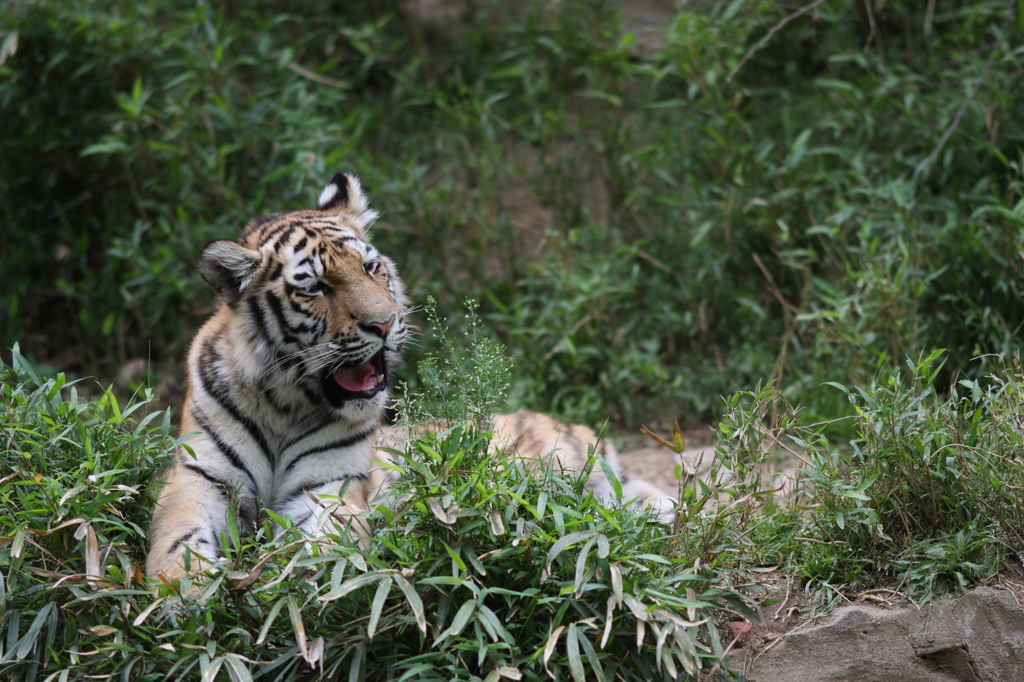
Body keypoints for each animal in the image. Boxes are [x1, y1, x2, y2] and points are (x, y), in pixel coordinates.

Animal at [144, 171, 671, 577]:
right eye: (315, 287)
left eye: (370, 267)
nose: (384, 323)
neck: (285, 403)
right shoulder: (198, 476)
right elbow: (175, 541)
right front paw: (185, 593)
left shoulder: (329, 485)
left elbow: (324, 542)